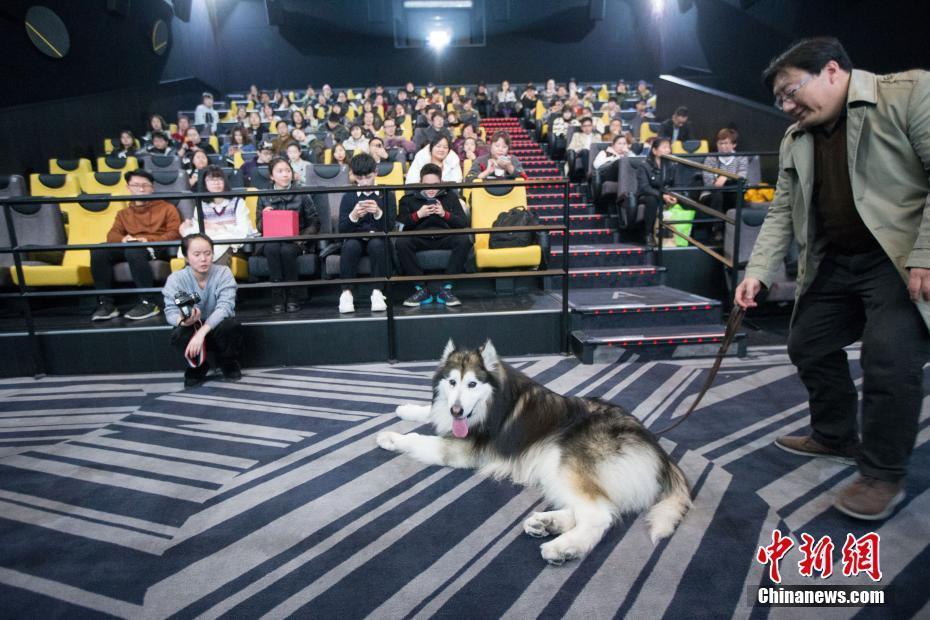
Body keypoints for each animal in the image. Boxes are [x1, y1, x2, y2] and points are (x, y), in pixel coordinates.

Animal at [376, 342, 688, 564]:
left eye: (472, 384)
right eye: (452, 383)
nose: (457, 410)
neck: (490, 402)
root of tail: (659, 451)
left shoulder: (459, 449)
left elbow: (418, 439)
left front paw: (391, 437)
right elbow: (430, 412)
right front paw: (406, 409)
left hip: (567, 463)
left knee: (600, 515)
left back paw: (563, 547)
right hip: (553, 468)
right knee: (594, 508)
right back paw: (546, 523)